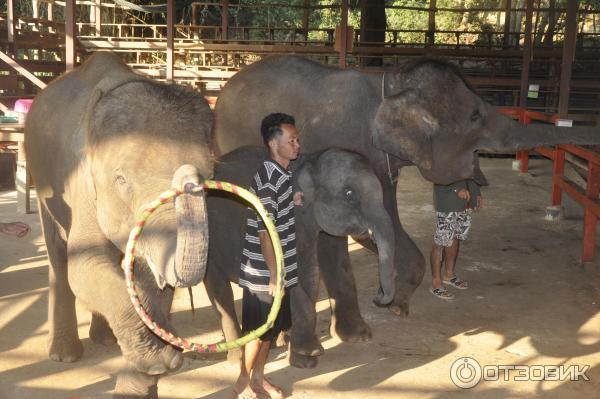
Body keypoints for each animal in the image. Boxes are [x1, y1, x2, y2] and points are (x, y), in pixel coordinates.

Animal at [25, 52, 214, 396]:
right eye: (121, 180)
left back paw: (106, 339)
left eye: (210, 175)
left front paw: (155, 366)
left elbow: (148, 282)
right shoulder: (83, 185)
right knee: (58, 254)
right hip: (41, 175)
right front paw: (162, 361)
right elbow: (84, 266)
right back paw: (65, 355)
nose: (188, 175)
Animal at [206, 146, 394, 368]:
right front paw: (309, 356)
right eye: (349, 195)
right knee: (219, 289)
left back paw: (276, 342)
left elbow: (317, 272)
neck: (308, 162)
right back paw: (238, 359)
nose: (379, 296)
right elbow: (296, 277)